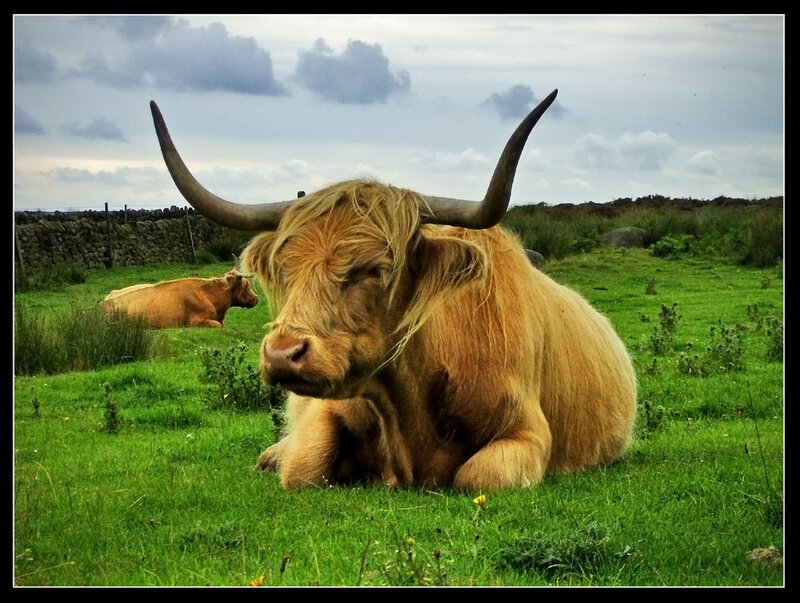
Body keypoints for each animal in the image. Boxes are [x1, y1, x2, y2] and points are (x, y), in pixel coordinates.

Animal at [149, 89, 638, 491]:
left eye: (374, 269)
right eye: (286, 267)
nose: (282, 354)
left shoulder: (527, 433)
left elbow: (480, 476)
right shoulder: (327, 413)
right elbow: (304, 468)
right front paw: (281, 460)